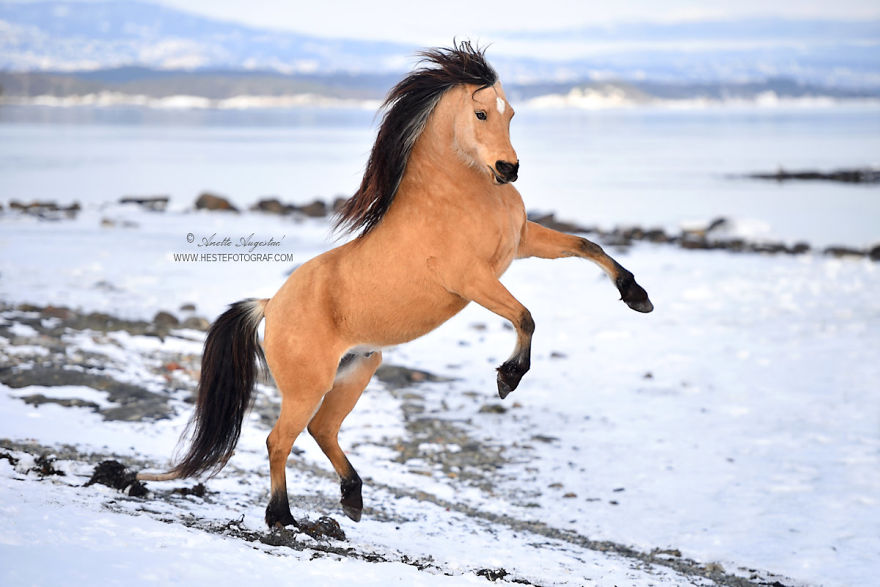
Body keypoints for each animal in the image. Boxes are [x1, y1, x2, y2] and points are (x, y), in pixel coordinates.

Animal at [138, 41, 653, 529]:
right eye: (481, 113)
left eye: (510, 114)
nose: (508, 169)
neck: (457, 198)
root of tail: (270, 304)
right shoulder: (472, 279)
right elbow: (525, 316)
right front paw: (508, 378)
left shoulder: (522, 243)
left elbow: (587, 246)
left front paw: (637, 296)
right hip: (308, 386)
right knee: (278, 440)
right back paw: (283, 517)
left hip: (358, 369)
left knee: (322, 430)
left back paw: (352, 498)